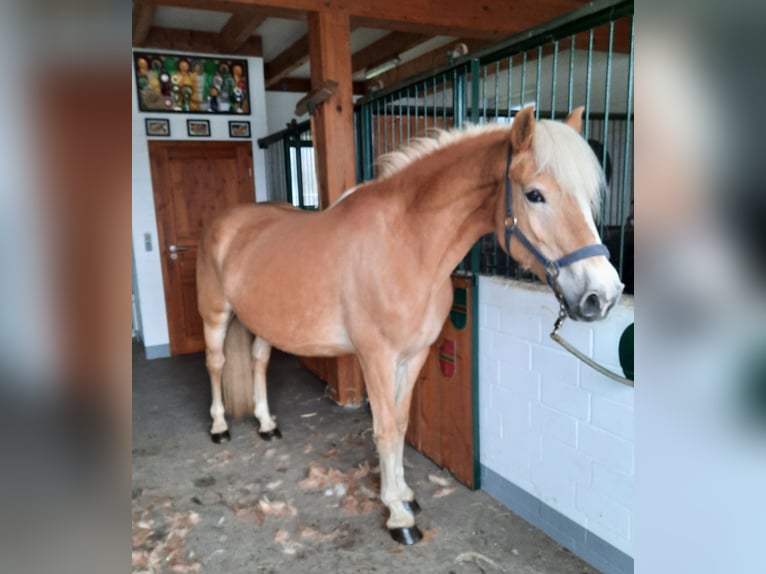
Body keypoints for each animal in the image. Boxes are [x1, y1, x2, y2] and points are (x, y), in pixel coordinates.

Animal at [196, 107, 624, 544]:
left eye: (588, 197)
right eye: (535, 194)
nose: (603, 295)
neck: (407, 246)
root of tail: (227, 222)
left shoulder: (414, 354)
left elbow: (401, 425)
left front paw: (404, 494)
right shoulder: (376, 358)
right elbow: (385, 429)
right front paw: (398, 517)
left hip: (264, 322)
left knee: (258, 362)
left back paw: (266, 423)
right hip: (215, 315)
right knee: (215, 364)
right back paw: (219, 426)